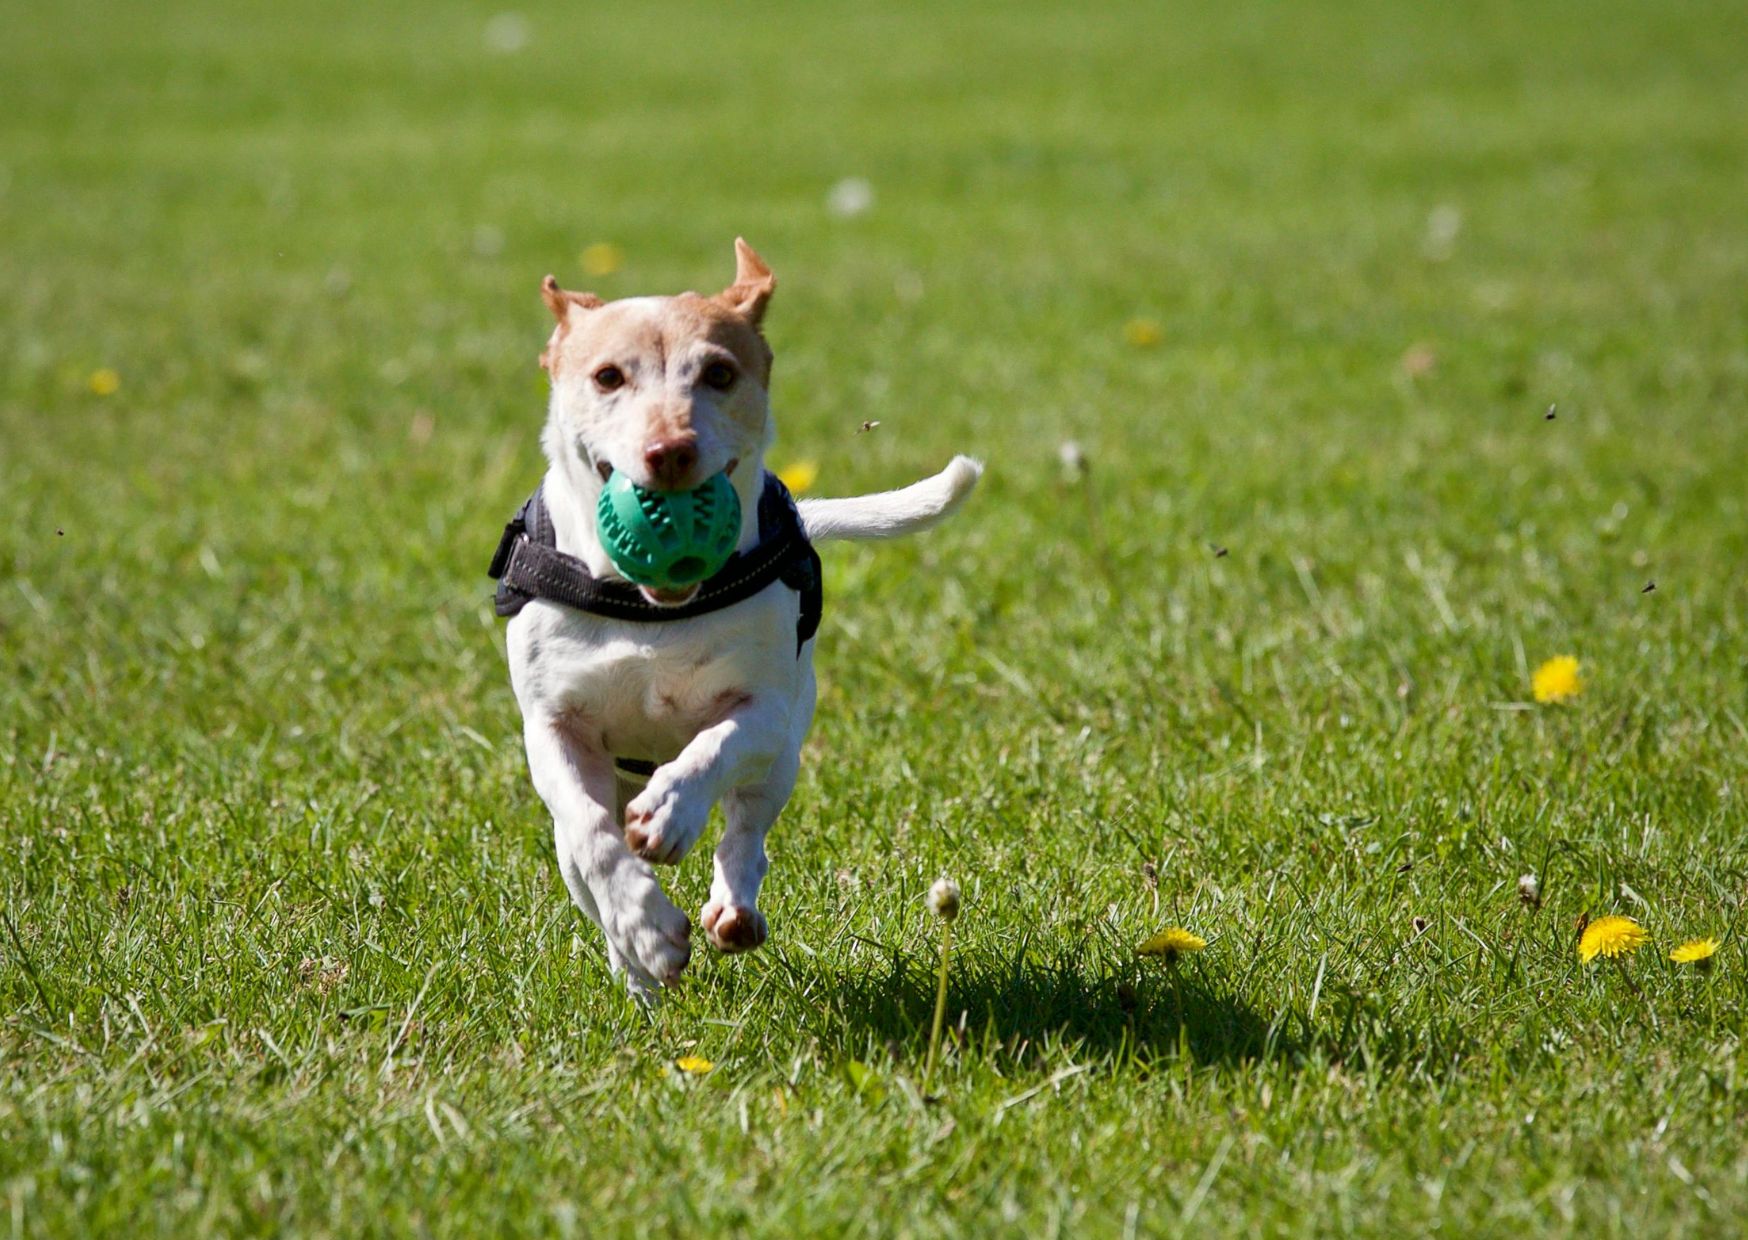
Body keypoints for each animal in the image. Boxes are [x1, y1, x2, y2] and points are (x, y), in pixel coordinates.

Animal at [496, 239, 985, 993]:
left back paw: (732, 908)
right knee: (584, 862)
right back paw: (636, 971)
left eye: (719, 373)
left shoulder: (765, 709)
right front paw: (646, 929)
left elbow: (713, 749)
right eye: (607, 376)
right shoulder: (553, 728)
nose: (670, 451)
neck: (649, 611)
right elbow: (592, 836)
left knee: (747, 830)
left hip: (783, 755)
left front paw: (671, 812)